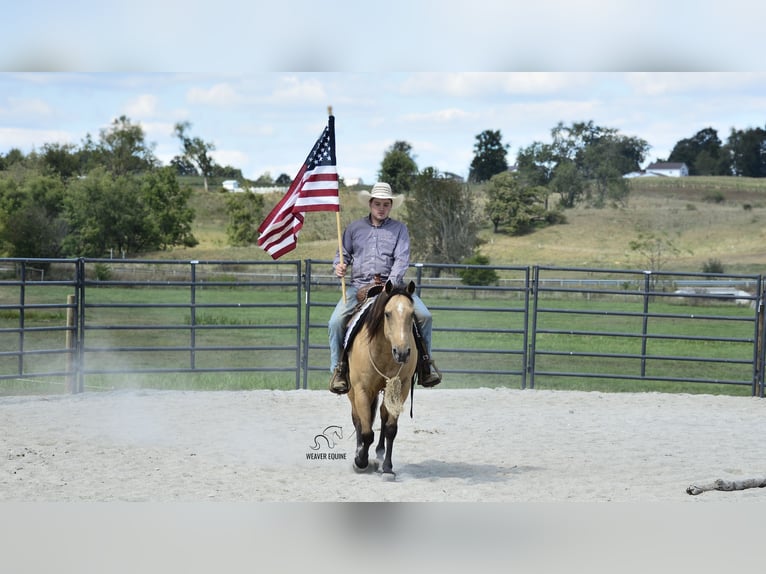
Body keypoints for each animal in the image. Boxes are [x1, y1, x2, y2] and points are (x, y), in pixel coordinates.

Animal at [346, 279, 418, 477]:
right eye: (387, 314)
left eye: (412, 314)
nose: (402, 352)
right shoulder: (362, 390)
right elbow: (366, 431)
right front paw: (360, 461)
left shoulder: (401, 389)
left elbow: (391, 429)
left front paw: (387, 467)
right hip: (352, 391)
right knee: (357, 419)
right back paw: (360, 452)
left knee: (383, 416)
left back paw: (379, 452)